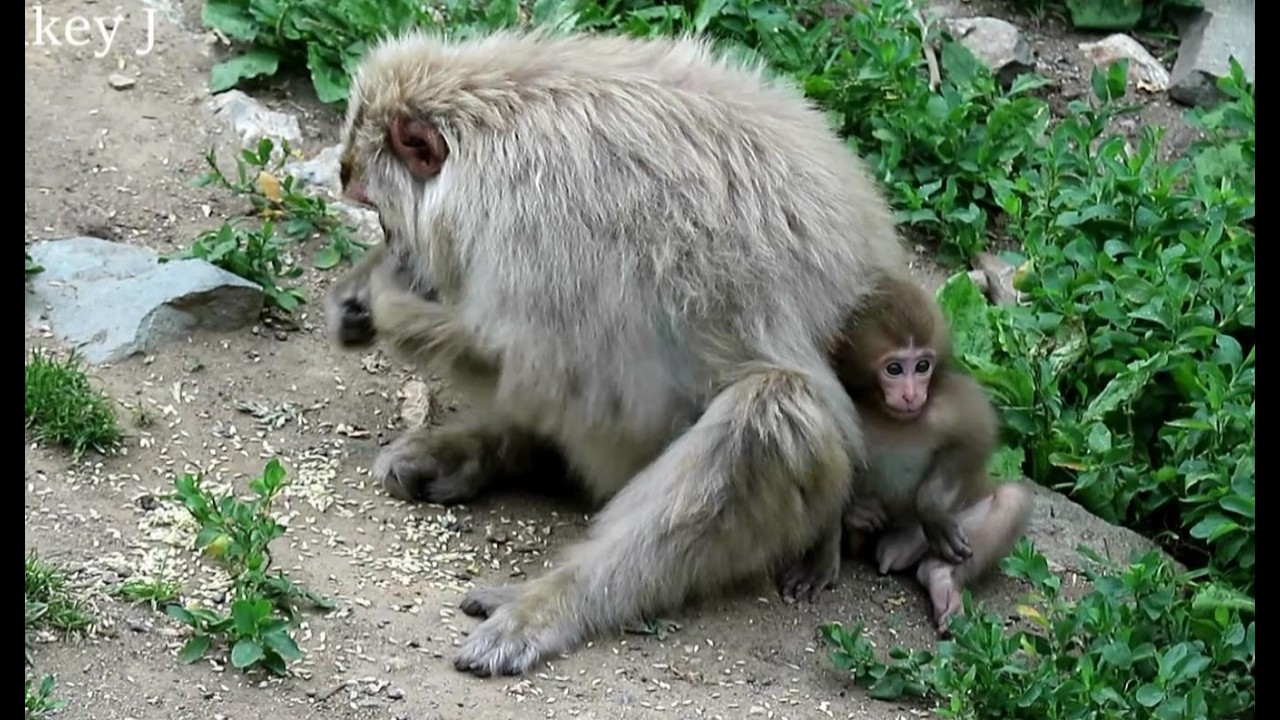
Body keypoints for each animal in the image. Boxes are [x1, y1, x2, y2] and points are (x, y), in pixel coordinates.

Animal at [324, 28, 913, 677]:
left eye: (378, 210)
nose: (397, 250)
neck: (493, 134)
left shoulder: (535, 231)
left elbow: (579, 381)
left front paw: (384, 305)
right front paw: (360, 296)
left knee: (774, 412)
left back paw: (557, 599)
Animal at [779, 271, 1033, 634]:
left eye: (923, 365)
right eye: (895, 369)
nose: (912, 394)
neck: (886, 415)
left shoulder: (946, 402)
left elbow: (977, 436)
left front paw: (932, 506)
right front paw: (827, 550)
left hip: (929, 536)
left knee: (1010, 500)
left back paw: (940, 576)